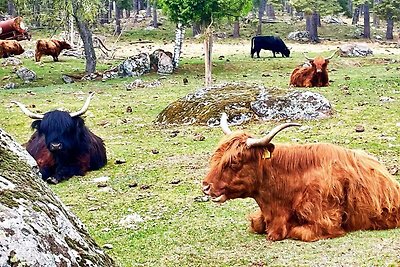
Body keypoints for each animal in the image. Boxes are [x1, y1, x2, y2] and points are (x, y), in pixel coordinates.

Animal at [202, 113, 400, 243]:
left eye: (235, 162)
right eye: (216, 158)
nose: (205, 186)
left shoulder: (325, 223)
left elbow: (296, 231)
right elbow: (256, 223)